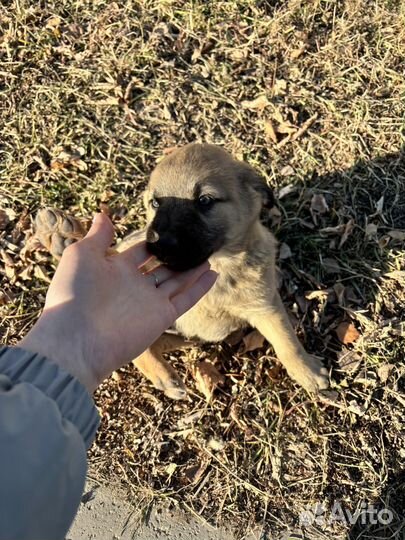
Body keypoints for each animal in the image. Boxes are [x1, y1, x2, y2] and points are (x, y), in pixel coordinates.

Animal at [34, 146, 328, 398]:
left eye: (205, 200)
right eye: (155, 203)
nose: (159, 245)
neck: (220, 266)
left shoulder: (265, 306)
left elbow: (286, 340)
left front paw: (307, 372)